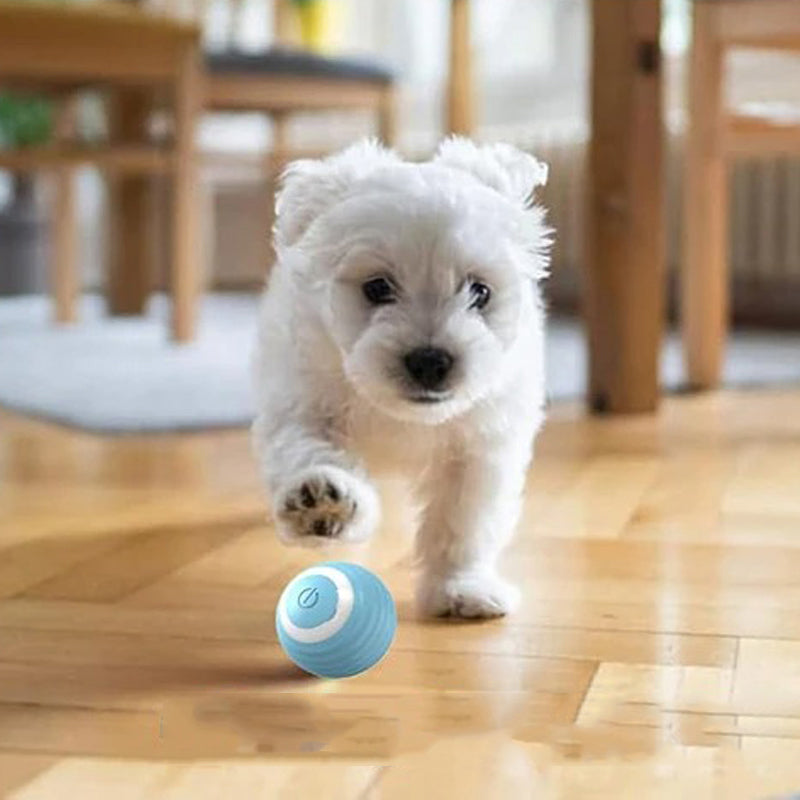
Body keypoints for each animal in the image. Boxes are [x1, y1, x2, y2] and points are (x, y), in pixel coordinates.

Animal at [253, 138, 552, 620]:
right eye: (376, 288)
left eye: (480, 292)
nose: (430, 361)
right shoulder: (304, 404)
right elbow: (308, 450)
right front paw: (320, 499)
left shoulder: (481, 446)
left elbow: (462, 521)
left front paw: (460, 588)